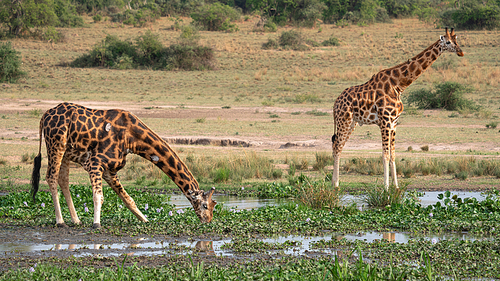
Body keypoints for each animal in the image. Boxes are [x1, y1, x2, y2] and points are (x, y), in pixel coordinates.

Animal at [31, 102, 217, 228]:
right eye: (205, 205)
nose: (208, 220)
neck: (131, 138)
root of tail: (43, 116)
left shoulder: (110, 170)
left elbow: (128, 199)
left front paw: (145, 220)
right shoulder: (95, 163)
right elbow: (98, 196)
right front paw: (96, 224)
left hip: (66, 152)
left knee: (63, 180)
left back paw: (76, 220)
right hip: (56, 144)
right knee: (51, 177)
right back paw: (60, 221)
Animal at [332, 27, 464, 188]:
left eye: (457, 40)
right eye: (448, 42)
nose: (461, 52)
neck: (399, 85)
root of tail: (335, 103)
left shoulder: (394, 123)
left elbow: (393, 154)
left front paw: (396, 186)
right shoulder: (385, 121)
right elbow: (385, 155)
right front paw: (385, 188)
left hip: (352, 122)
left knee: (338, 145)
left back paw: (335, 182)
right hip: (344, 120)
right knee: (337, 146)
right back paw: (335, 184)